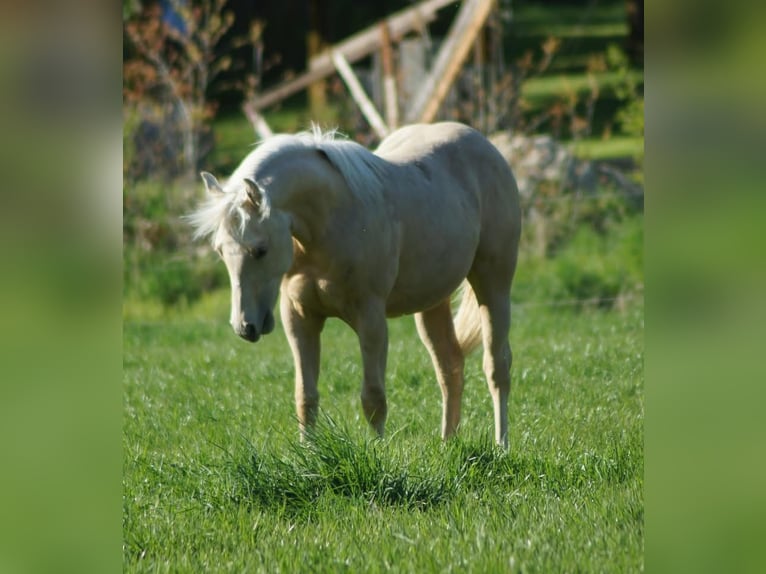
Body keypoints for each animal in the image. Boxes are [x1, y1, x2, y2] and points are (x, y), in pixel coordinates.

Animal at [188, 122, 521, 448]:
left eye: (261, 249)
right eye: (220, 250)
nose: (245, 327)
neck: (329, 222)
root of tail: (482, 143)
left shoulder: (370, 318)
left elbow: (373, 398)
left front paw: (377, 454)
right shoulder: (299, 318)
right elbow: (305, 396)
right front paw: (307, 454)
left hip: (493, 286)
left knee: (497, 367)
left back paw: (501, 446)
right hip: (432, 302)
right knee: (450, 367)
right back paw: (447, 445)